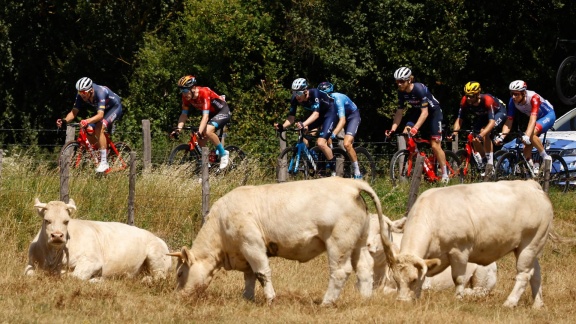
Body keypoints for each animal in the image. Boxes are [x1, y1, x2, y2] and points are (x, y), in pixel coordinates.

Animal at [26, 196, 171, 282]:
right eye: (47, 220)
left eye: (66, 221)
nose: (57, 236)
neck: (53, 258)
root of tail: (159, 239)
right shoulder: (30, 263)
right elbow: (30, 274)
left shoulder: (92, 261)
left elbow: (73, 276)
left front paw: (97, 279)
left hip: (156, 256)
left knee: (159, 277)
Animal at [166, 177, 392, 306]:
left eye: (179, 273)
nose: (177, 296)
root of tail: (350, 183)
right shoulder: (244, 252)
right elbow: (249, 276)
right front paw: (247, 299)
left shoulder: (252, 244)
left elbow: (261, 273)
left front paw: (270, 299)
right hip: (359, 242)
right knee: (364, 270)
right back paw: (364, 300)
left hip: (339, 242)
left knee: (340, 272)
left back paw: (326, 302)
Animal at [382, 180, 552, 308]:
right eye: (396, 280)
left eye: (413, 279)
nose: (402, 302)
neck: (433, 216)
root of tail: (531, 184)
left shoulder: (459, 251)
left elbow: (458, 278)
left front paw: (458, 299)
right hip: (532, 247)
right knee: (536, 273)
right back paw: (538, 304)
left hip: (529, 245)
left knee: (524, 274)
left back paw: (509, 303)